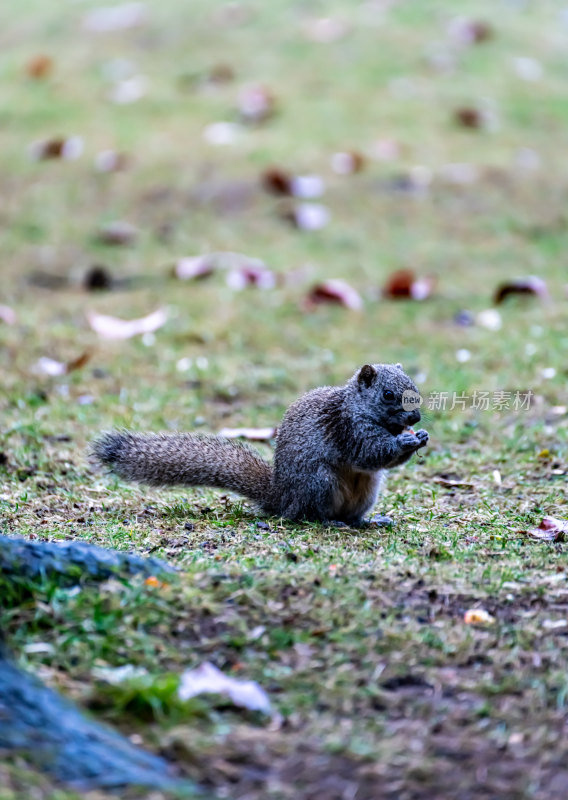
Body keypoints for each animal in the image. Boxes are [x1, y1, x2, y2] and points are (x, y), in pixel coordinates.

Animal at [92, 364, 426, 528]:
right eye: (387, 394)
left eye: (415, 387)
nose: (416, 417)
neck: (357, 406)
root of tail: (282, 498)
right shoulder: (348, 429)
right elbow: (369, 452)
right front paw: (407, 440)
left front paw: (420, 436)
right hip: (319, 482)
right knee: (308, 515)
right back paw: (331, 522)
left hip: (367, 491)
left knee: (352, 515)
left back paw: (369, 521)